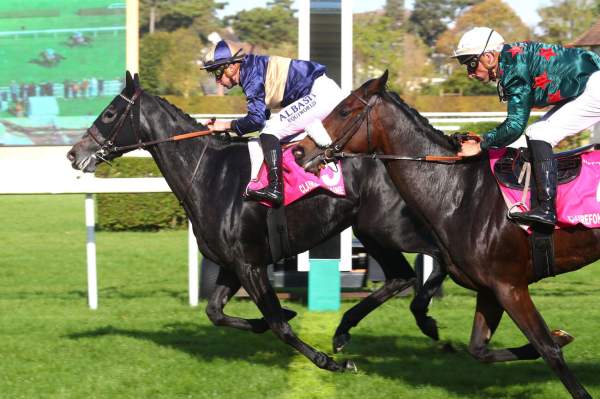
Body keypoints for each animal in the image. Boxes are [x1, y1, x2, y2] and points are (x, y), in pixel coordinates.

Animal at [67, 72, 450, 372]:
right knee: (400, 276)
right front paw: (284, 321)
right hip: (371, 231)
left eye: (109, 113)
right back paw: (346, 330)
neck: (209, 174)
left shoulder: (250, 264)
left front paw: (328, 362)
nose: (73, 154)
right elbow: (215, 312)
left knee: (438, 255)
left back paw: (423, 317)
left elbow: (278, 323)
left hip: (393, 226)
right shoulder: (231, 264)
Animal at [296, 70, 600, 398]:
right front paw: (560, 336)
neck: (460, 191)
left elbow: (548, 349)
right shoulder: (490, 290)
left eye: (344, 110)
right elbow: (480, 350)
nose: (300, 150)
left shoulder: (511, 287)